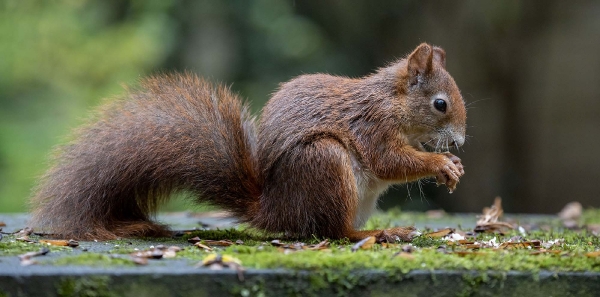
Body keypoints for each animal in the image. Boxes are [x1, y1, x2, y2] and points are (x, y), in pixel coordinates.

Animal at [29, 43, 468, 240]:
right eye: (440, 104)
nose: (461, 142)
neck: (392, 102)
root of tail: (275, 211)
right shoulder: (372, 127)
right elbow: (389, 161)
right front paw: (440, 165)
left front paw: (452, 167)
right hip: (325, 163)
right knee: (332, 231)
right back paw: (376, 234)